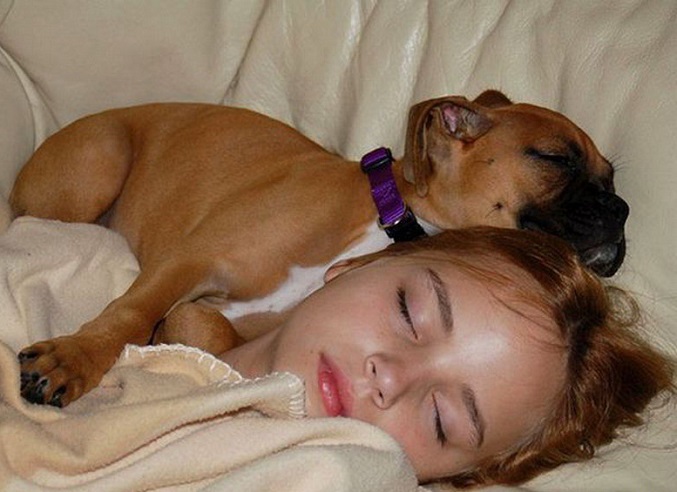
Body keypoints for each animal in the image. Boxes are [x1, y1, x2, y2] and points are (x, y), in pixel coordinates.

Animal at [9, 90, 628, 406]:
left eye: (612, 176)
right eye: (555, 158)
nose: (621, 210)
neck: (389, 217)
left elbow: (204, 328)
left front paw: (176, 333)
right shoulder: (188, 262)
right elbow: (130, 314)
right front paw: (75, 359)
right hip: (101, 162)